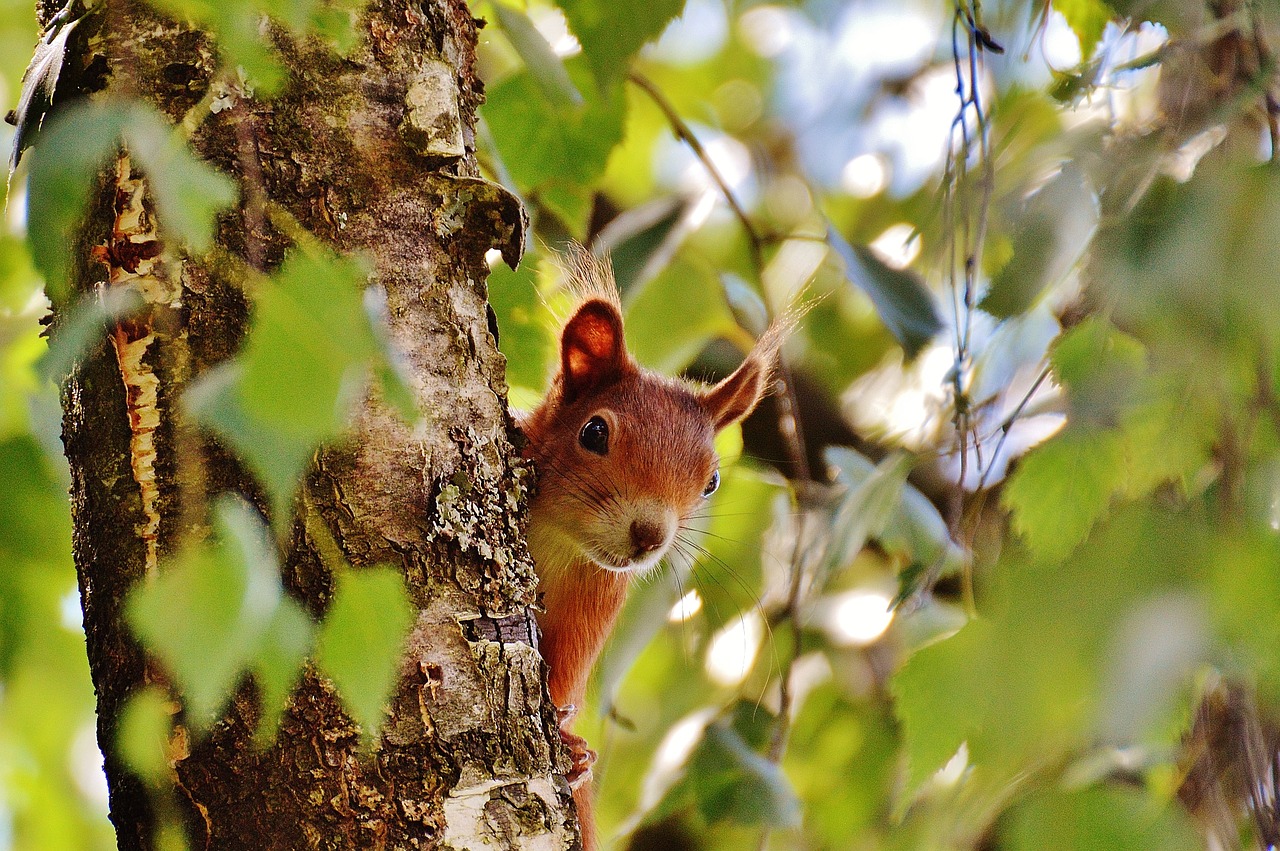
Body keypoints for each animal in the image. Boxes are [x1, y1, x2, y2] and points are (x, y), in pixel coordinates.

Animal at [514, 252, 783, 849]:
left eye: (711, 482)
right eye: (594, 432)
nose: (650, 535)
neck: (558, 540)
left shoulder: (593, 599)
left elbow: (563, 675)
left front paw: (571, 749)